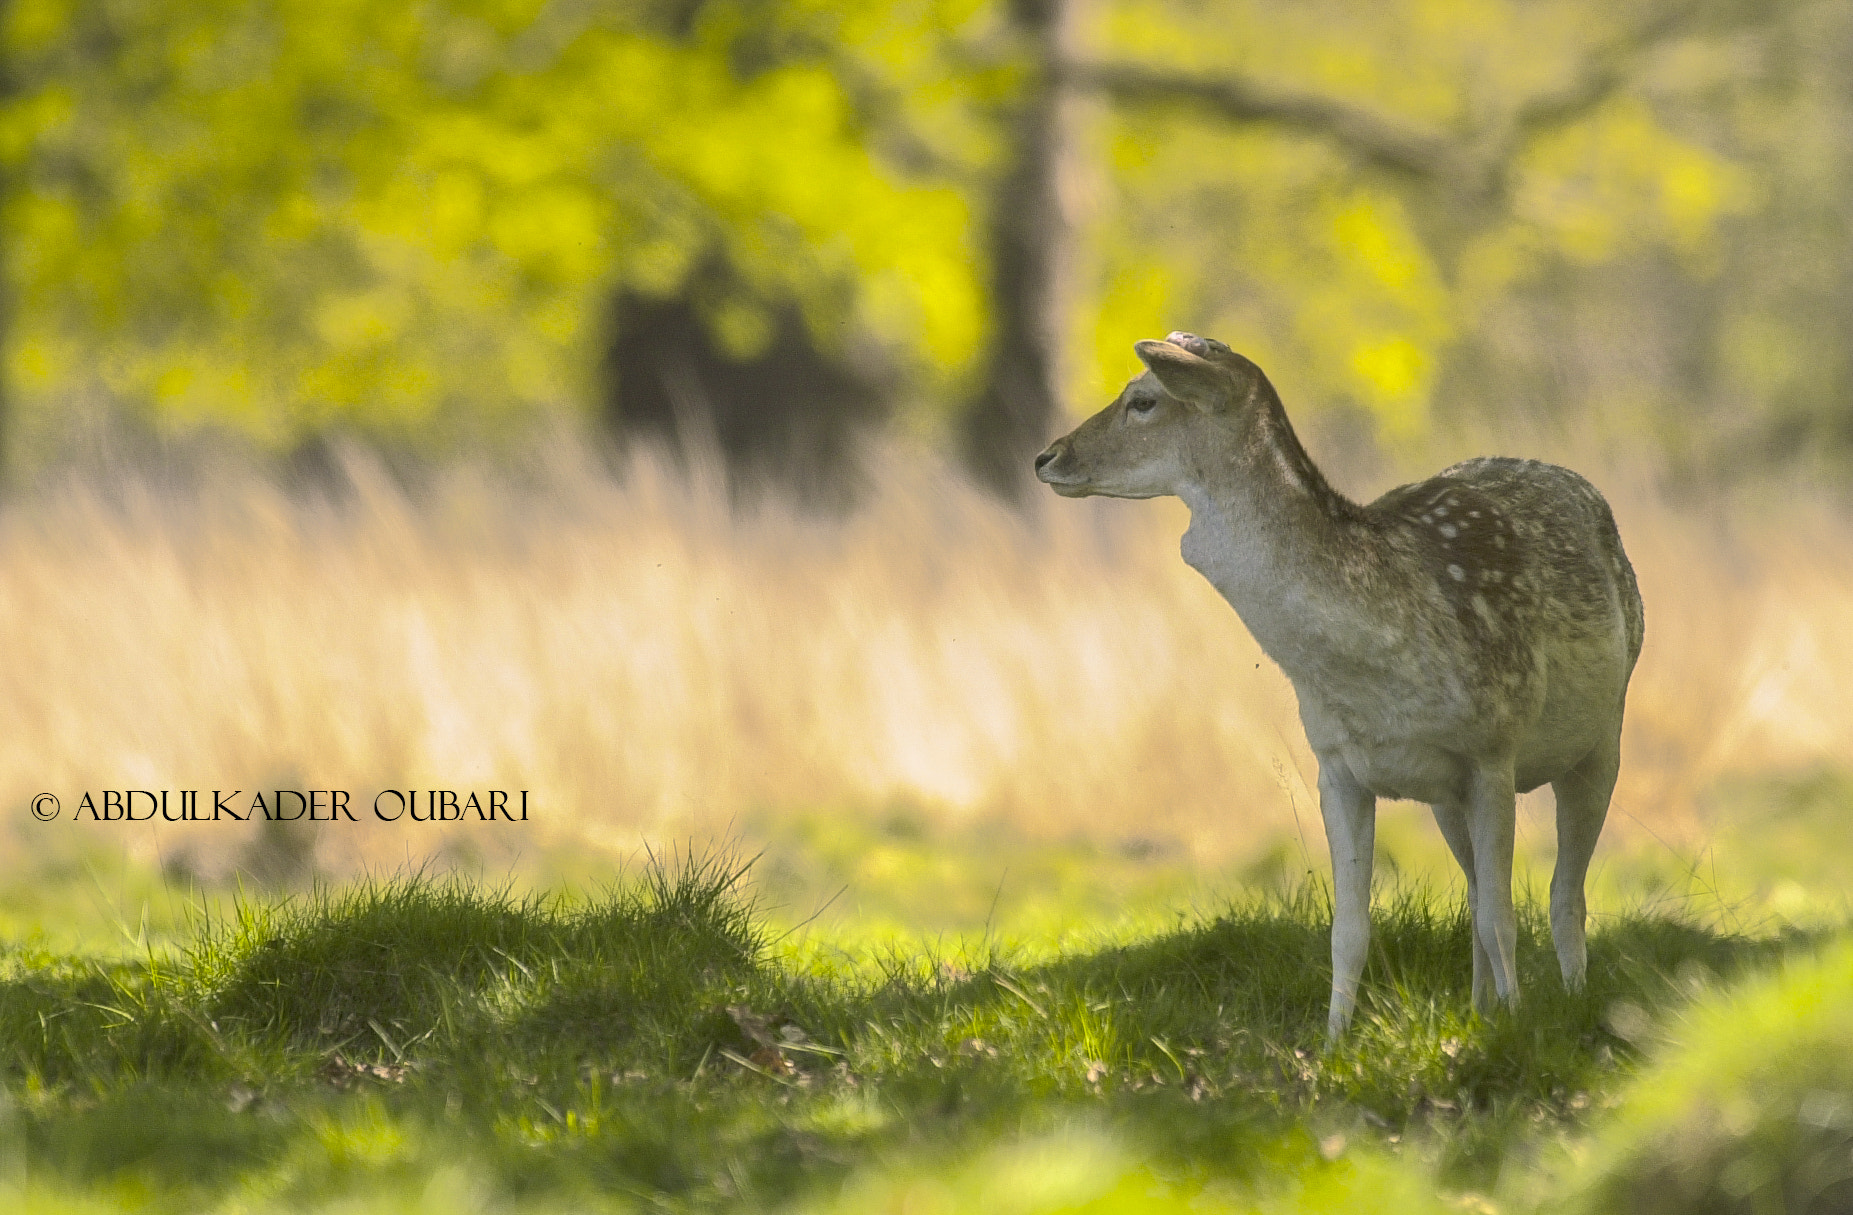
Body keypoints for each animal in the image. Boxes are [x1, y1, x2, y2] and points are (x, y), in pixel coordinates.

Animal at [1037, 331, 1645, 1037]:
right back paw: (1476, 1011)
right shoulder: (1336, 763)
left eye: (1143, 400)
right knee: (1476, 894)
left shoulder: (1495, 748)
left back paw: (1568, 1000)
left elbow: (1504, 917)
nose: (1046, 457)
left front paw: (1519, 1028)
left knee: (1563, 891)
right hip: (1446, 798)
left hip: (1604, 734)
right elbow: (1349, 929)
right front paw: (1333, 1043)